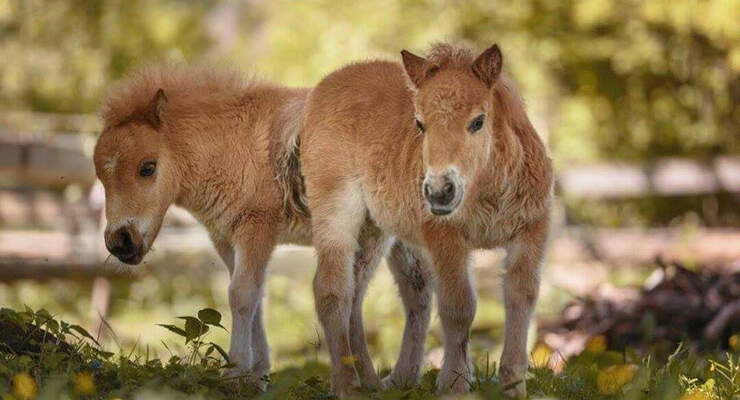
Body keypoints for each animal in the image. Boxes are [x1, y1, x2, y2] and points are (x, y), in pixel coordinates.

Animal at [300, 43, 553, 397]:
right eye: (420, 124)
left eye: (478, 121)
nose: (438, 192)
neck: (486, 190)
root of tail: (325, 84)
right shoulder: (445, 238)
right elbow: (459, 308)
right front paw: (455, 385)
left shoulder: (532, 230)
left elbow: (522, 296)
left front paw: (513, 387)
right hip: (336, 213)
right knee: (332, 290)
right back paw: (348, 386)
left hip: (379, 231)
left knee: (379, 293)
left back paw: (384, 381)